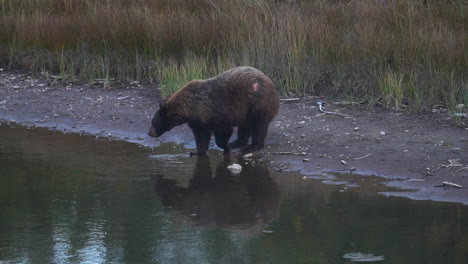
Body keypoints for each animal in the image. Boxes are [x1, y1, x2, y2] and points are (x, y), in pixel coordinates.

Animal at [148, 66, 278, 156]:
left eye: (153, 122)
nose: (149, 133)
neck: (190, 109)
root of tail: (270, 82)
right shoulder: (197, 121)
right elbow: (201, 136)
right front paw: (197, 152)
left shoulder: (215, 112)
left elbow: (223, 129)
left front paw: (225, 147)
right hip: (245, 111)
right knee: (244, 126)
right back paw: (237, 142)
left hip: (258, 104)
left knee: (258, 126)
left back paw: (252, 146)